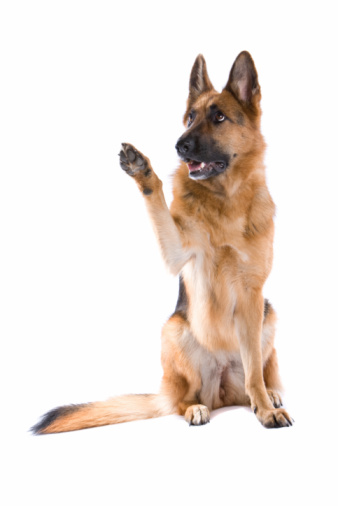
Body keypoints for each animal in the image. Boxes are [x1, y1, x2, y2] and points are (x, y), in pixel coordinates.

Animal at [32, 49, 294, 432]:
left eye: (219, 117)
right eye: (190, 118)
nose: (180, 145)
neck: (225, 199)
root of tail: (224, 391)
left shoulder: (252, 292)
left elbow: (254, 371)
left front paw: (265, 408)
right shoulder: (178, 252)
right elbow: (156, 201)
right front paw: (143, 170)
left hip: (268, 314)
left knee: (256, 373)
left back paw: (269, 395)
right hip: (173, 330)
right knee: (185, 399)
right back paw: (195, 408)